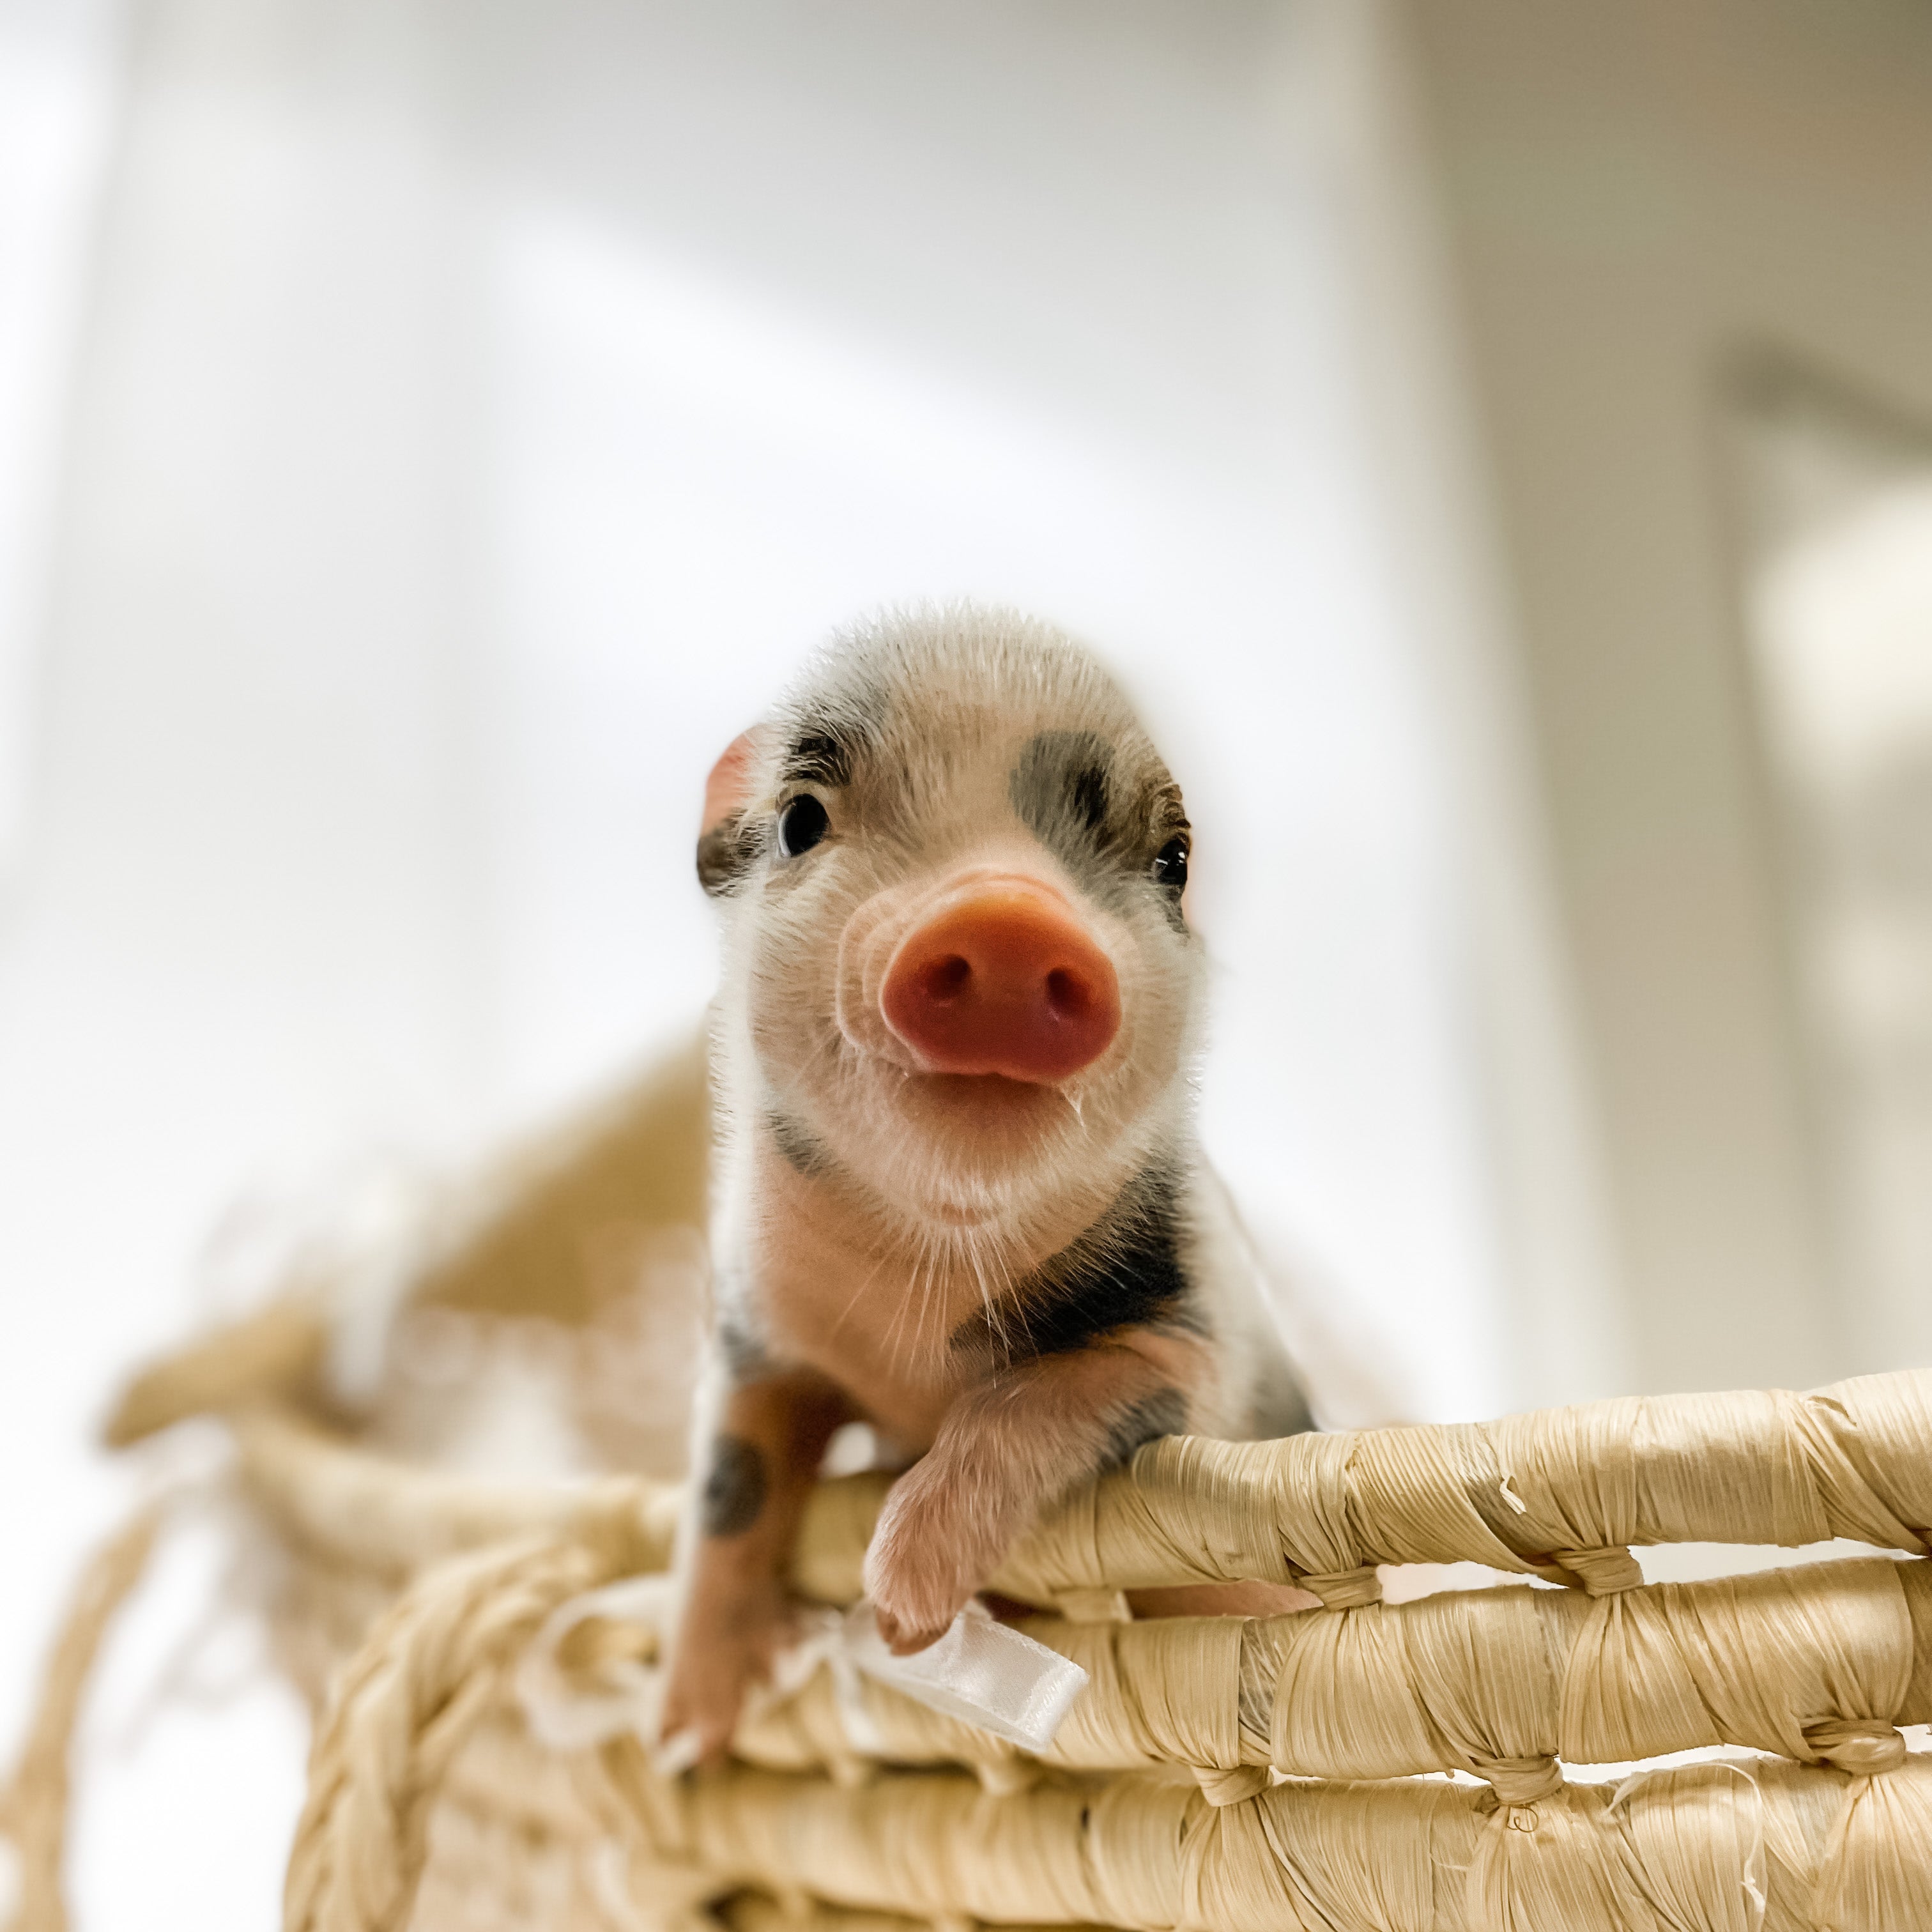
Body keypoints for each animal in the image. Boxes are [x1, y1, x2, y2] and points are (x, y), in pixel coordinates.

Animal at [663, 604, 1310, 1761]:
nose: (1009, 915)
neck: (919, 1301)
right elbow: (726, 1485)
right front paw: (685, 1740)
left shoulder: (1198, 1337)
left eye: (1172, 860)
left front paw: (902, 1615)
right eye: (799, 820)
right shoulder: (755, 1337)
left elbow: (1033, 1396)